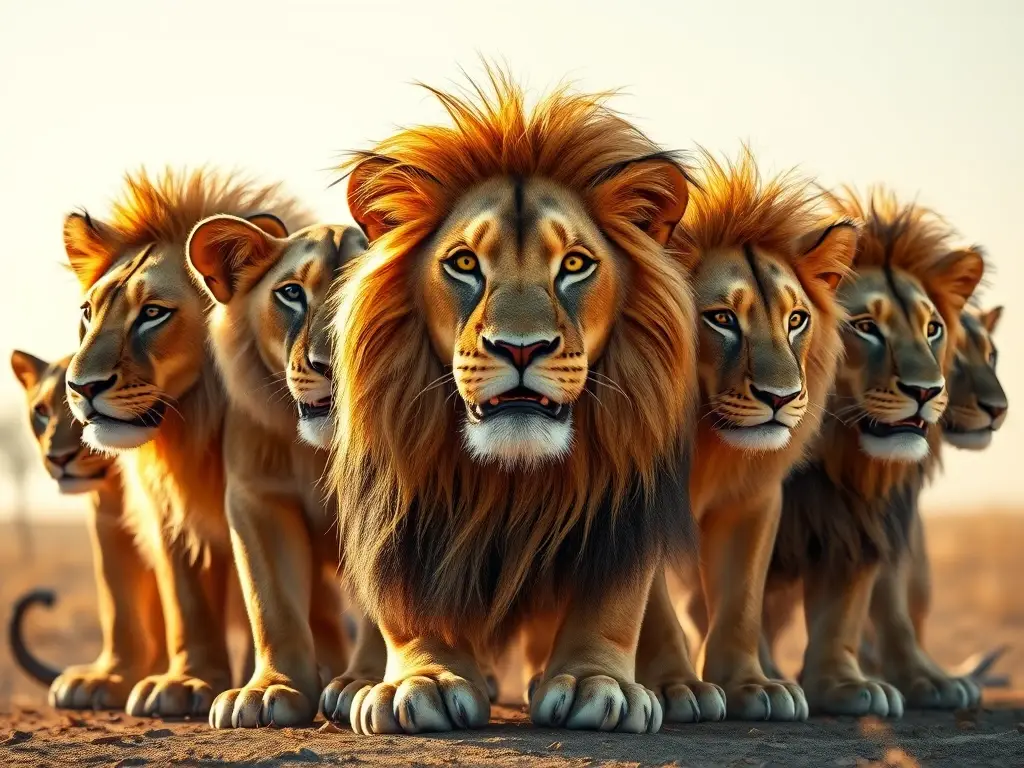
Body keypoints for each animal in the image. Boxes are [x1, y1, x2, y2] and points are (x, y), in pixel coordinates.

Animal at [63, 167, 312, 717]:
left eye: (153, 313)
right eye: (87, 312)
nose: (79, 387)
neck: (193, 427)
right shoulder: (170, 512)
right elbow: (186, 601)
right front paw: (186, 682)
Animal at [185, 214, 388, 727]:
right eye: (291, 293)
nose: (332, 365)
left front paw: (366, 683)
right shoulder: (259, 500)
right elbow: (272, 606)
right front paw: (270, 691)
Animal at [329, 68, 696, 734]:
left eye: (574, 263)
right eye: (464, 263)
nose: (519, 348)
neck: (513, 477)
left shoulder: (620, 498)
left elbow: (615, 599)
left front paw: (596, 683)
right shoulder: (407, 504)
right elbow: (407, 604)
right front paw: (424, 679)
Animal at [633, 149, 858, 722]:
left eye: (796, 319)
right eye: (721, 318)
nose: (782, 397)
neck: (704, 440)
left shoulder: (751, 501)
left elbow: (741, 602)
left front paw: (751, 686)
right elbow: (653, 611)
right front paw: (677, 686)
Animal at [765, 187, 985, 717]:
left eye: (932, 329)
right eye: (865, 326)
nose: (928, 391)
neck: (832, 463)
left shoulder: (860, 524)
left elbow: (852, 608)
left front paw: (842, 685)